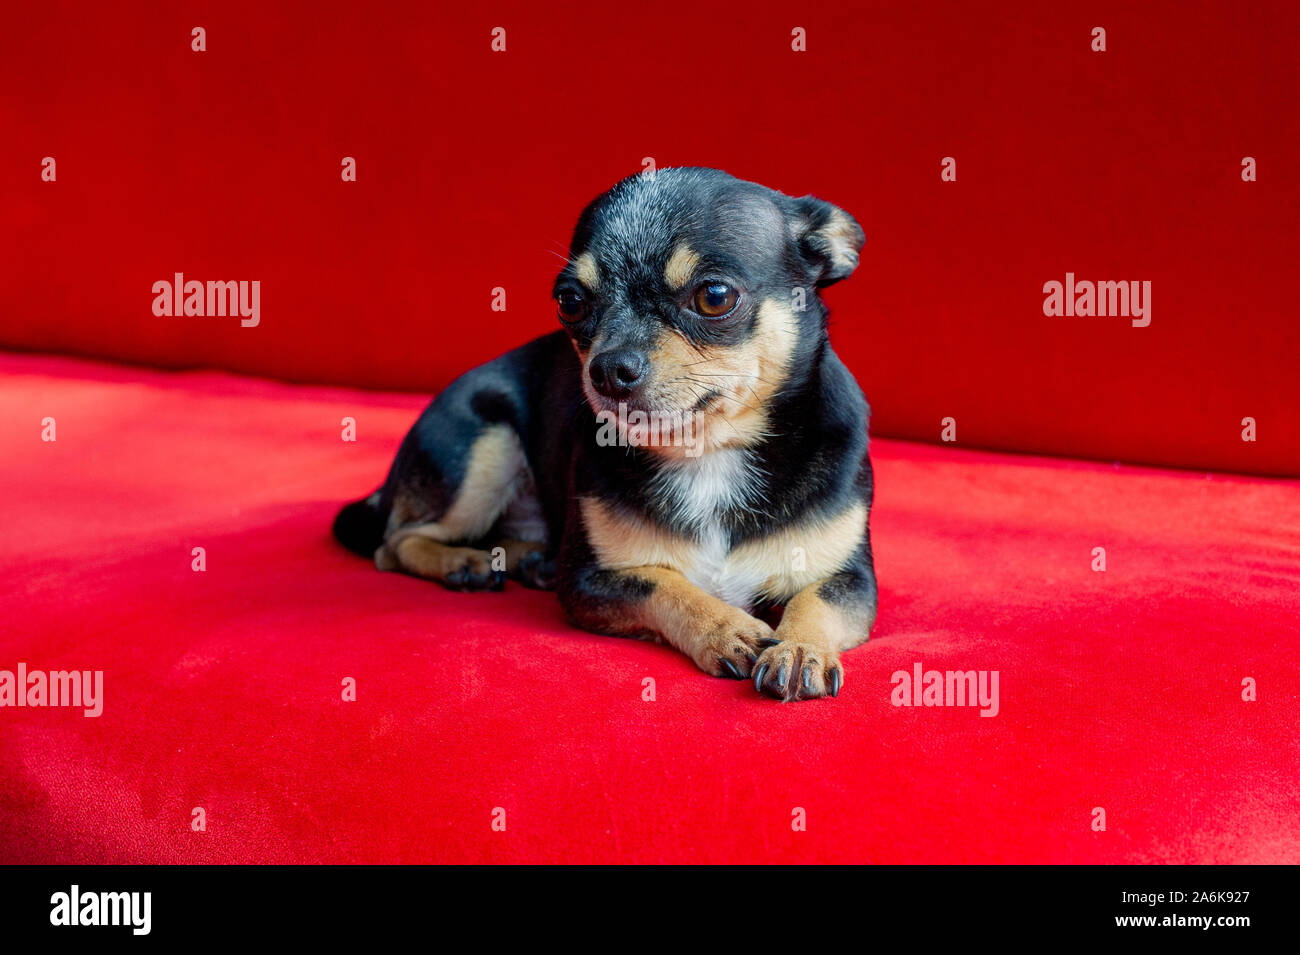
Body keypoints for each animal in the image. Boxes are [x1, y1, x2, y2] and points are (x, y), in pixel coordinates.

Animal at [340, 166, 878, 701]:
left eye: (714, 297)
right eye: (570, 302)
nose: (607, 370)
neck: (707, 452)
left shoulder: (851, 579)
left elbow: (815, 600)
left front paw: (801, 648)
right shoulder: (590, 581)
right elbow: (664, 583)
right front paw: (726, 627)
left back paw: (530, 560)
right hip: (484, 450)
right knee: (395, 543)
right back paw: (464, 563)